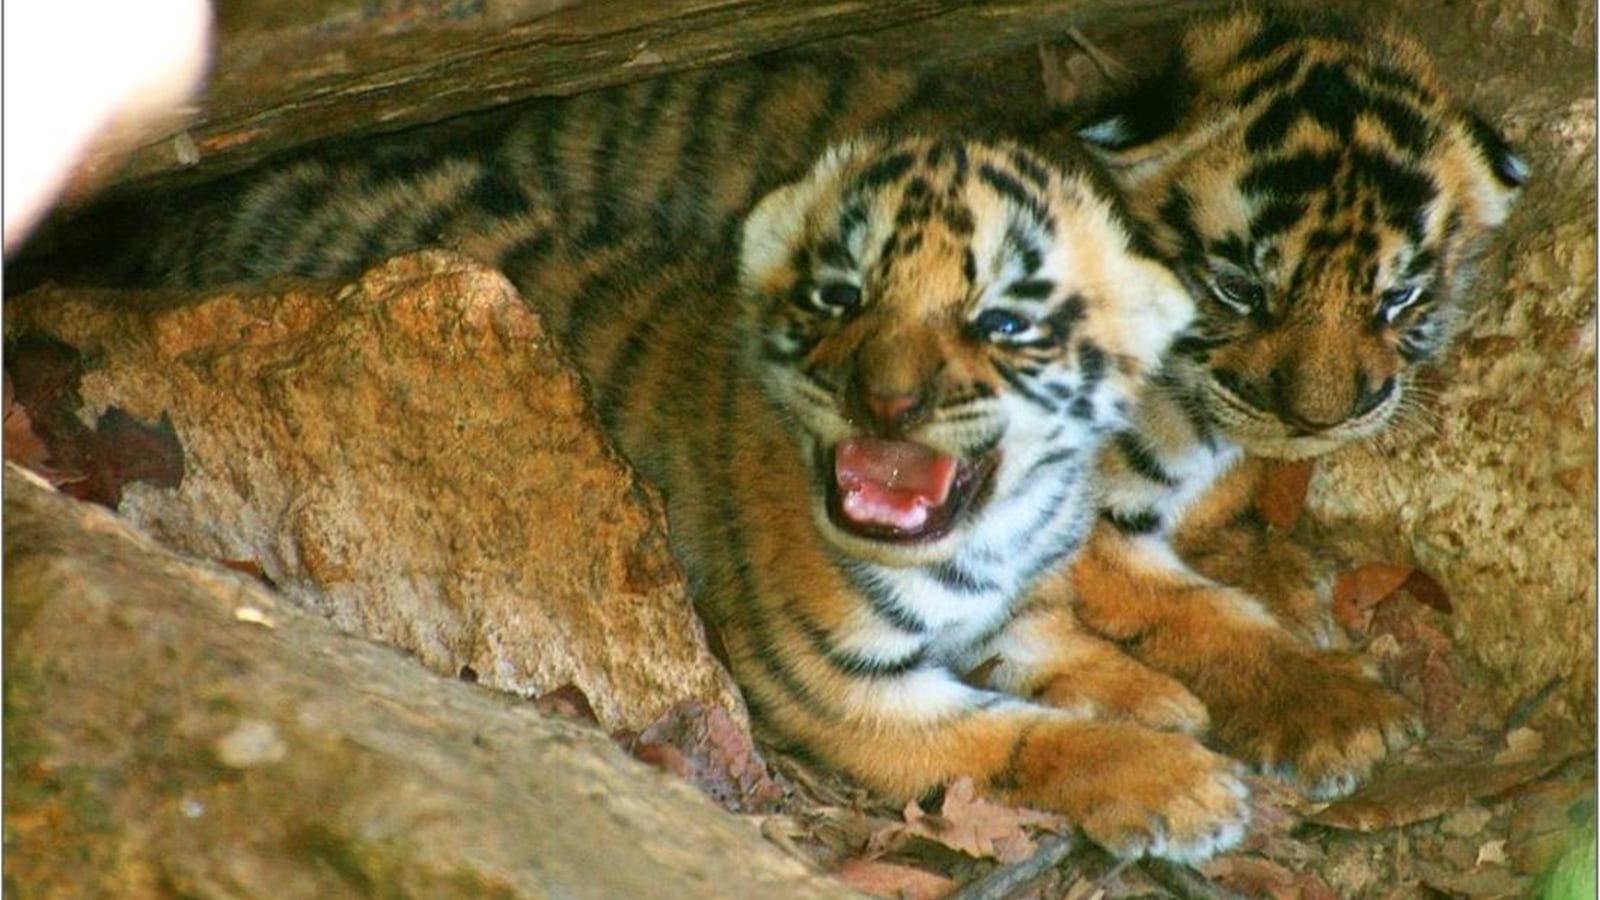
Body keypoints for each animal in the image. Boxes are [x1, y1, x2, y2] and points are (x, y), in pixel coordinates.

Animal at [492, 135, 1243, 860]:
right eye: (839, 297)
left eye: (1003, 323)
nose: (885, 400)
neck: (995, 532)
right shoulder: (846, 685)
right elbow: (1016, 736)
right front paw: (1183, 784)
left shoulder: (1020, 603)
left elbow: (1059, 642)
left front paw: (1158, 697)